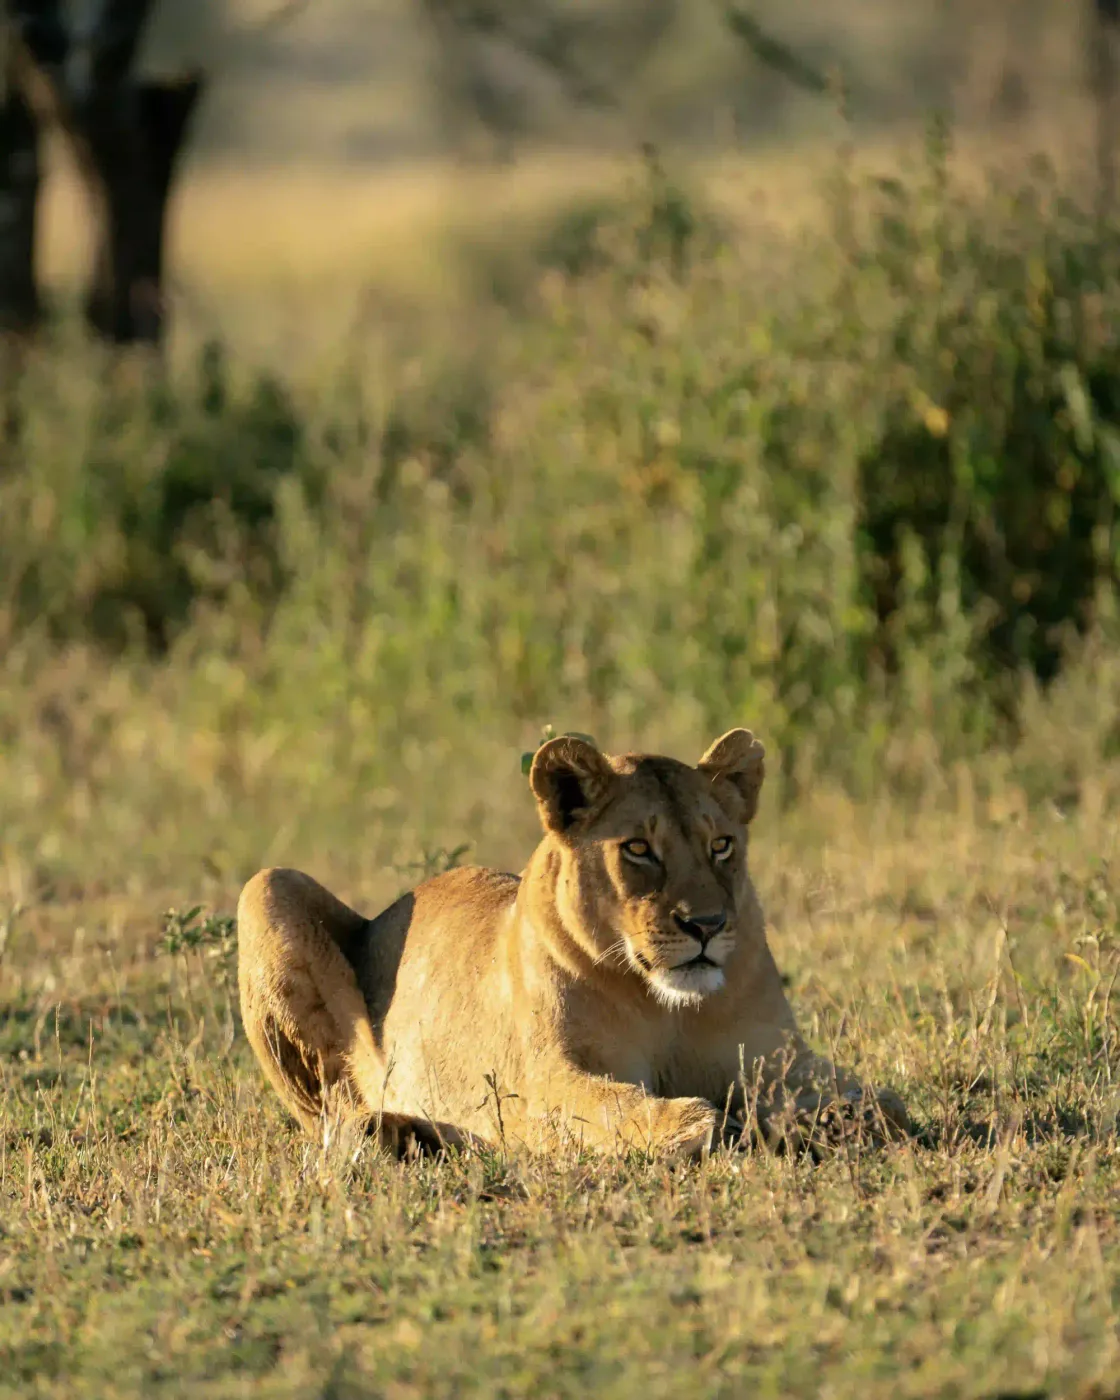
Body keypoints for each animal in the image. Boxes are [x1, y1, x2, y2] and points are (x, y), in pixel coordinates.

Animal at [237, 729, 909, 1159]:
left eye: (721, 845)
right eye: (638, 848)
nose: (708, 926)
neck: (664, 1006)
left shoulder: (780, 1058)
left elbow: (882, 1102)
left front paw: (833, 1119)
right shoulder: (541, 1081)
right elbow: (613, 1106)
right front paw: (695, 1123)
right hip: (266, 885)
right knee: (329, 1115)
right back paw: (389, 1133)